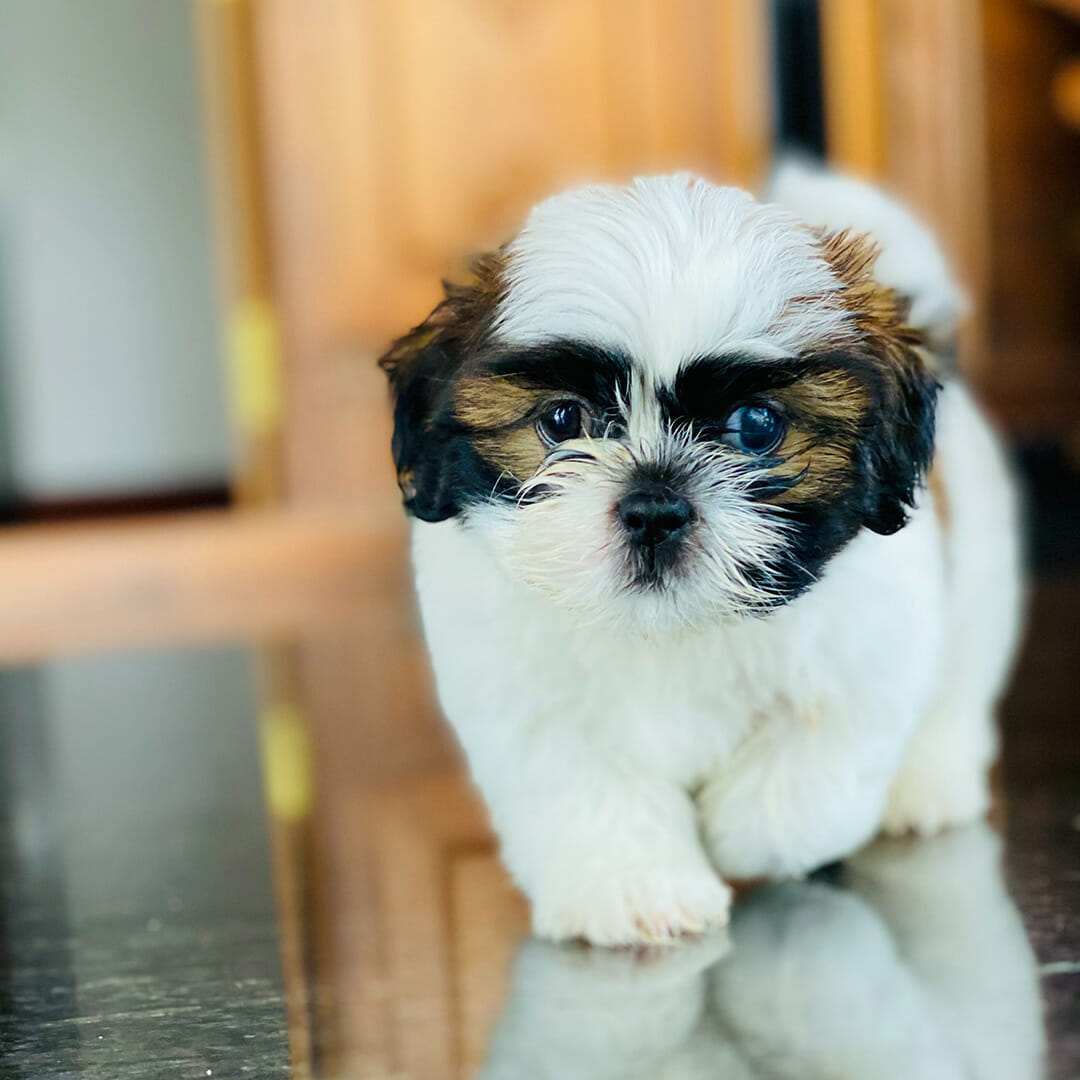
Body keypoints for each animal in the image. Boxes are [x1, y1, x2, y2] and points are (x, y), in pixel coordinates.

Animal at [380, 161, 1023, 946]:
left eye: (757, 426)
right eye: (563, 421)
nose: (655, 508)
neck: (670, 631)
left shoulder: (867, 662)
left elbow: (804, 783)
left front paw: (734, 834)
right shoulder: (524, 699)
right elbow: (584, 788)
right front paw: (634, 890)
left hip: (982, 574)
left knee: (961, 680)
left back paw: (929, 781)